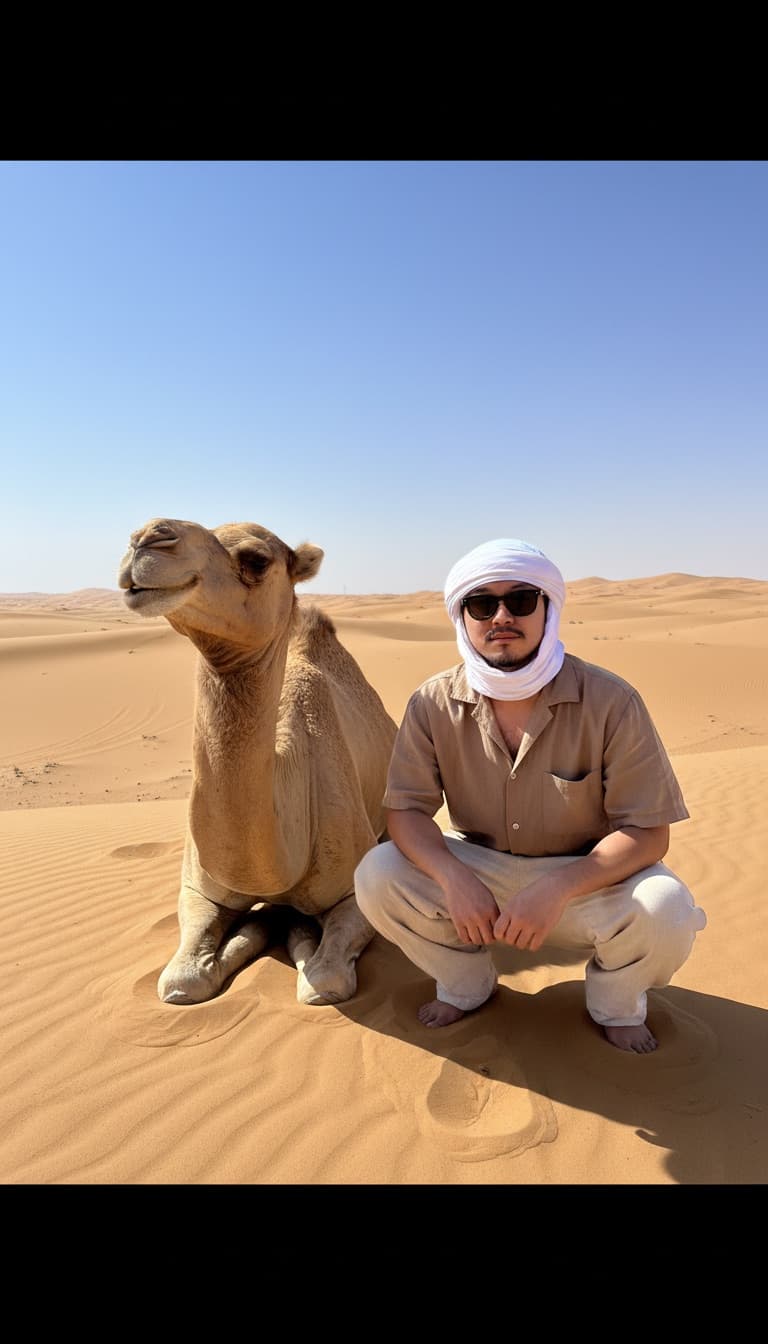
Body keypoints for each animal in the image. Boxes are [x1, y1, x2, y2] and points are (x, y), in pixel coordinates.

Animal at [117, 517, 398, 1007]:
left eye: (256, 559)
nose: (148, 537)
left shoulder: (352, 892)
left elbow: (323, 982)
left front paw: (295, 932)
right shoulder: (196, 887)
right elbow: (179, 983)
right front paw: (258, 928)